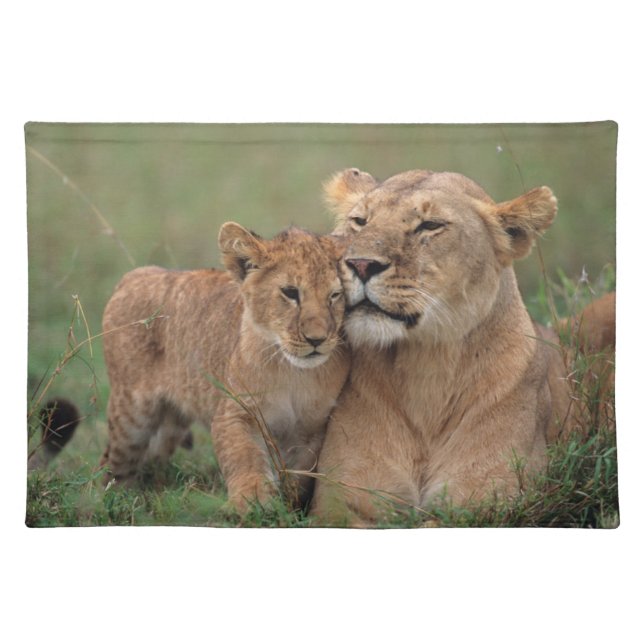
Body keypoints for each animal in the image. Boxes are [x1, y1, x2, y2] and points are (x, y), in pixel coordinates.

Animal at [101, 223, 350, 512]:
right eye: (290, 292)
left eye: (335, 295)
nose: (317, 340)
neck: (294, 373)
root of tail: (135, 275)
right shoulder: (236, 412)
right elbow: (245, 457)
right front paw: (252, 501)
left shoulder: (312, 430)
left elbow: (298, 475)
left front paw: (287, 506)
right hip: (131, 415)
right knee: (112, 464)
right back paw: (107, 500)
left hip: (171, 424)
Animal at [310, 168, 576, 525]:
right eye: (360, 221)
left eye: (430, 225)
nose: (361, 264)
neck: (426, 367)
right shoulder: (340, 503)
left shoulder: (494, 501)